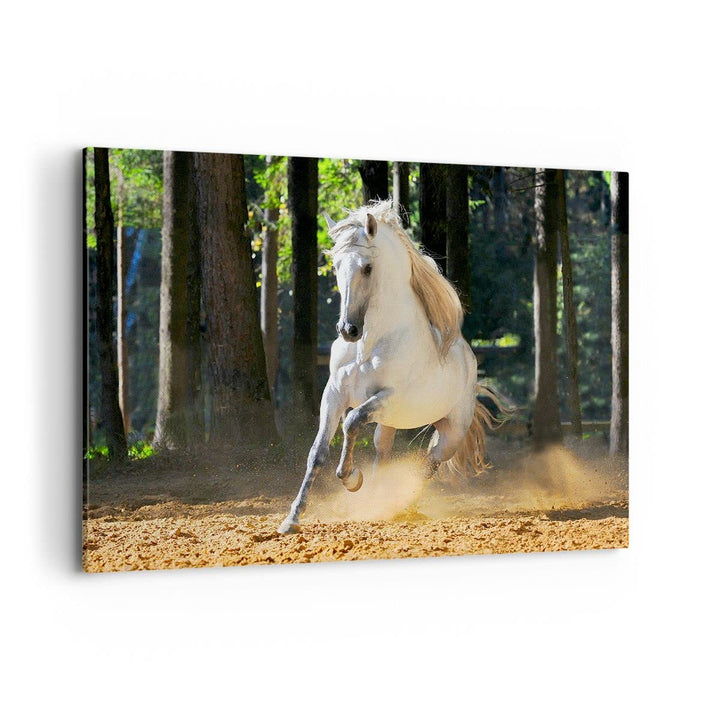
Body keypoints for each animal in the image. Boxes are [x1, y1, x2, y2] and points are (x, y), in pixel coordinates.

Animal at [278, 200, 499, 534]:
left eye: (367, 267)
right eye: (336, 265)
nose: (348, 330)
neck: (368, 346)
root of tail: (470, 361)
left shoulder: (387, 398)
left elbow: (352, 421)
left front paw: (351, 478)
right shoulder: (333, 395)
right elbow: (317, 452)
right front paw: (292, 518)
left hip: (450, 433)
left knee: (429, 464)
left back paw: (399, 505)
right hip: (390, 423)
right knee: (383, 453)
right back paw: (376, 502)